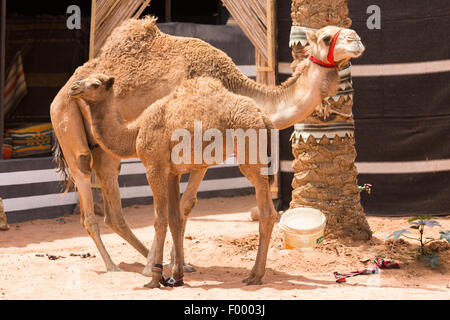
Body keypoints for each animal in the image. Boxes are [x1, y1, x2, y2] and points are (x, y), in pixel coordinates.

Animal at [68, 75, 278, 288]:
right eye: (83, 80)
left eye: (95, 84)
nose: (73, 87)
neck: (136, 132)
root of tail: (263, 118)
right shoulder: (171, 173)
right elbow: (175, 219)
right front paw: (177, 276)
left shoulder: (155, 167)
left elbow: (160, 219)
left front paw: (154, 279)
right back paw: (254, 274)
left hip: (251, 156)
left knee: (266, 212)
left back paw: (255, 276)